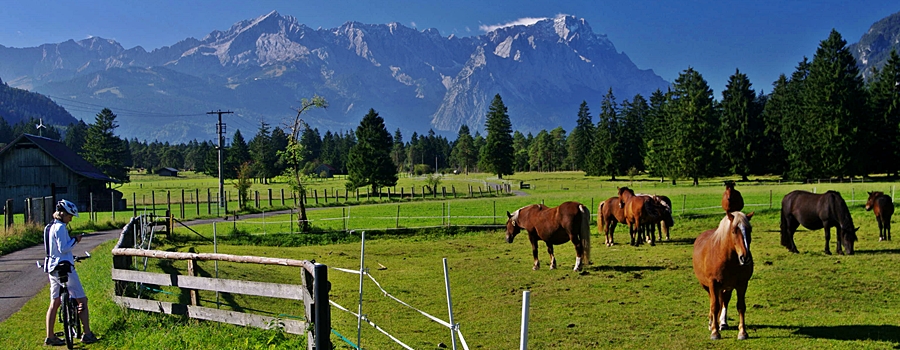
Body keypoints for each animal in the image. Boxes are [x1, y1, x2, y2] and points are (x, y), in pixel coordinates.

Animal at [692, 211, 756, 340]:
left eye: (749, 230)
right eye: (734, 231)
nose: (745, 257)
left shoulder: (742, 284)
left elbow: (741, 306)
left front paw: (742, 332)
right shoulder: (713, 284)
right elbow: (715, 306)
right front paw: (715, 332)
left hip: (727, 287)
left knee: (724, 301)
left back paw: (723, 323)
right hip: (708, 286)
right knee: (713, 301)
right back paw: (712, 323)